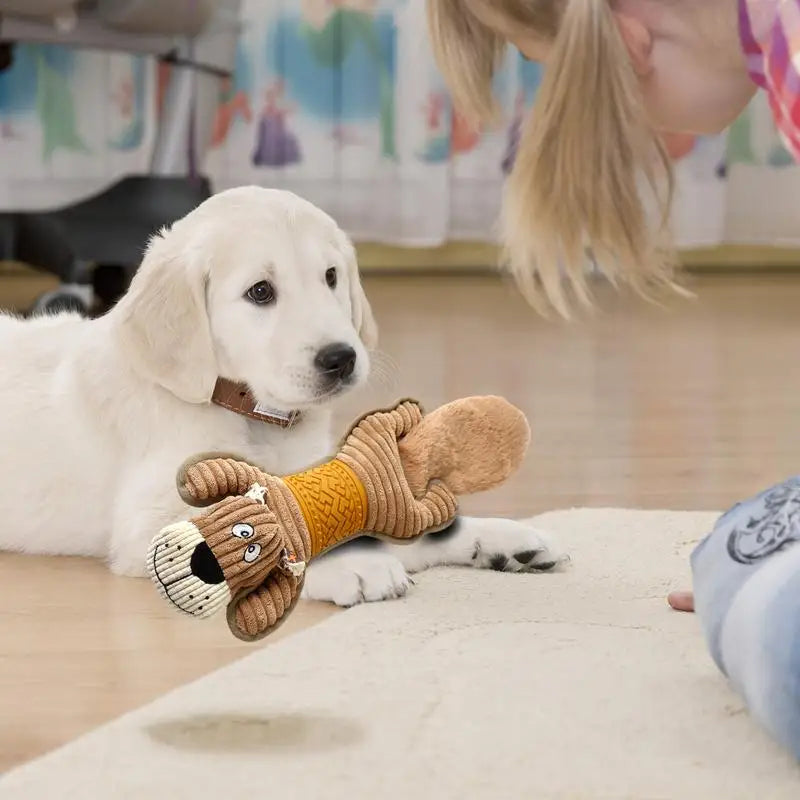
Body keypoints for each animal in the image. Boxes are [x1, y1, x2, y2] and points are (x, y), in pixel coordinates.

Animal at [0, 186, 564, 608]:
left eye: (331, 276)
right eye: (260, 292)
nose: (341, 358)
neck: (254, 415)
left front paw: (499, 538)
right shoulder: (156, 521)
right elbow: (269, 538)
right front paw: (355, 567)